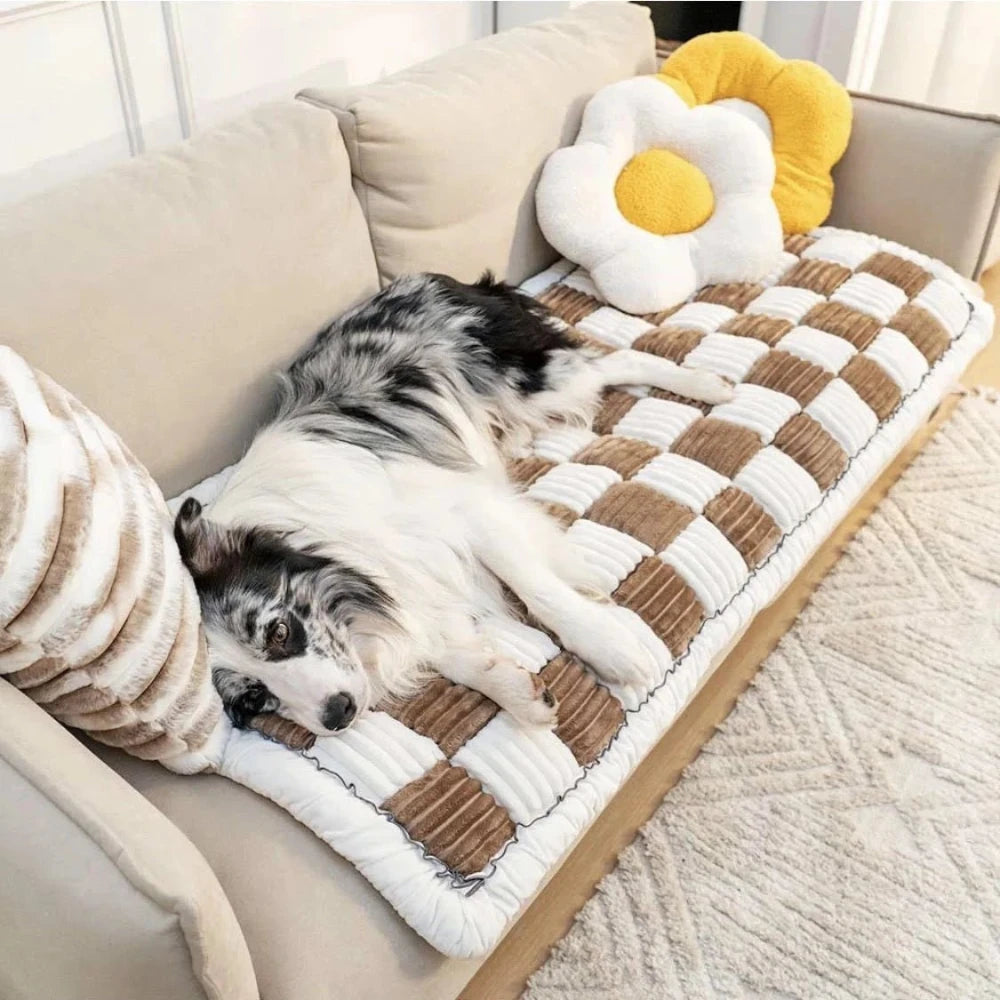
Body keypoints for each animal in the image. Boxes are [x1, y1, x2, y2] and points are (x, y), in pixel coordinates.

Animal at [174, 274, 736, 736]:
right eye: (255, 697)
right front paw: (518, 693)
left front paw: (609, 647)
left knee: (614, 361)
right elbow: (447, 649)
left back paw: (710, 385)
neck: (323, 537)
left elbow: (539, 591)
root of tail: (437, 278)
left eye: (279, 631)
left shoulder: (461, 511)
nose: (338, 715)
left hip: (529, 380)